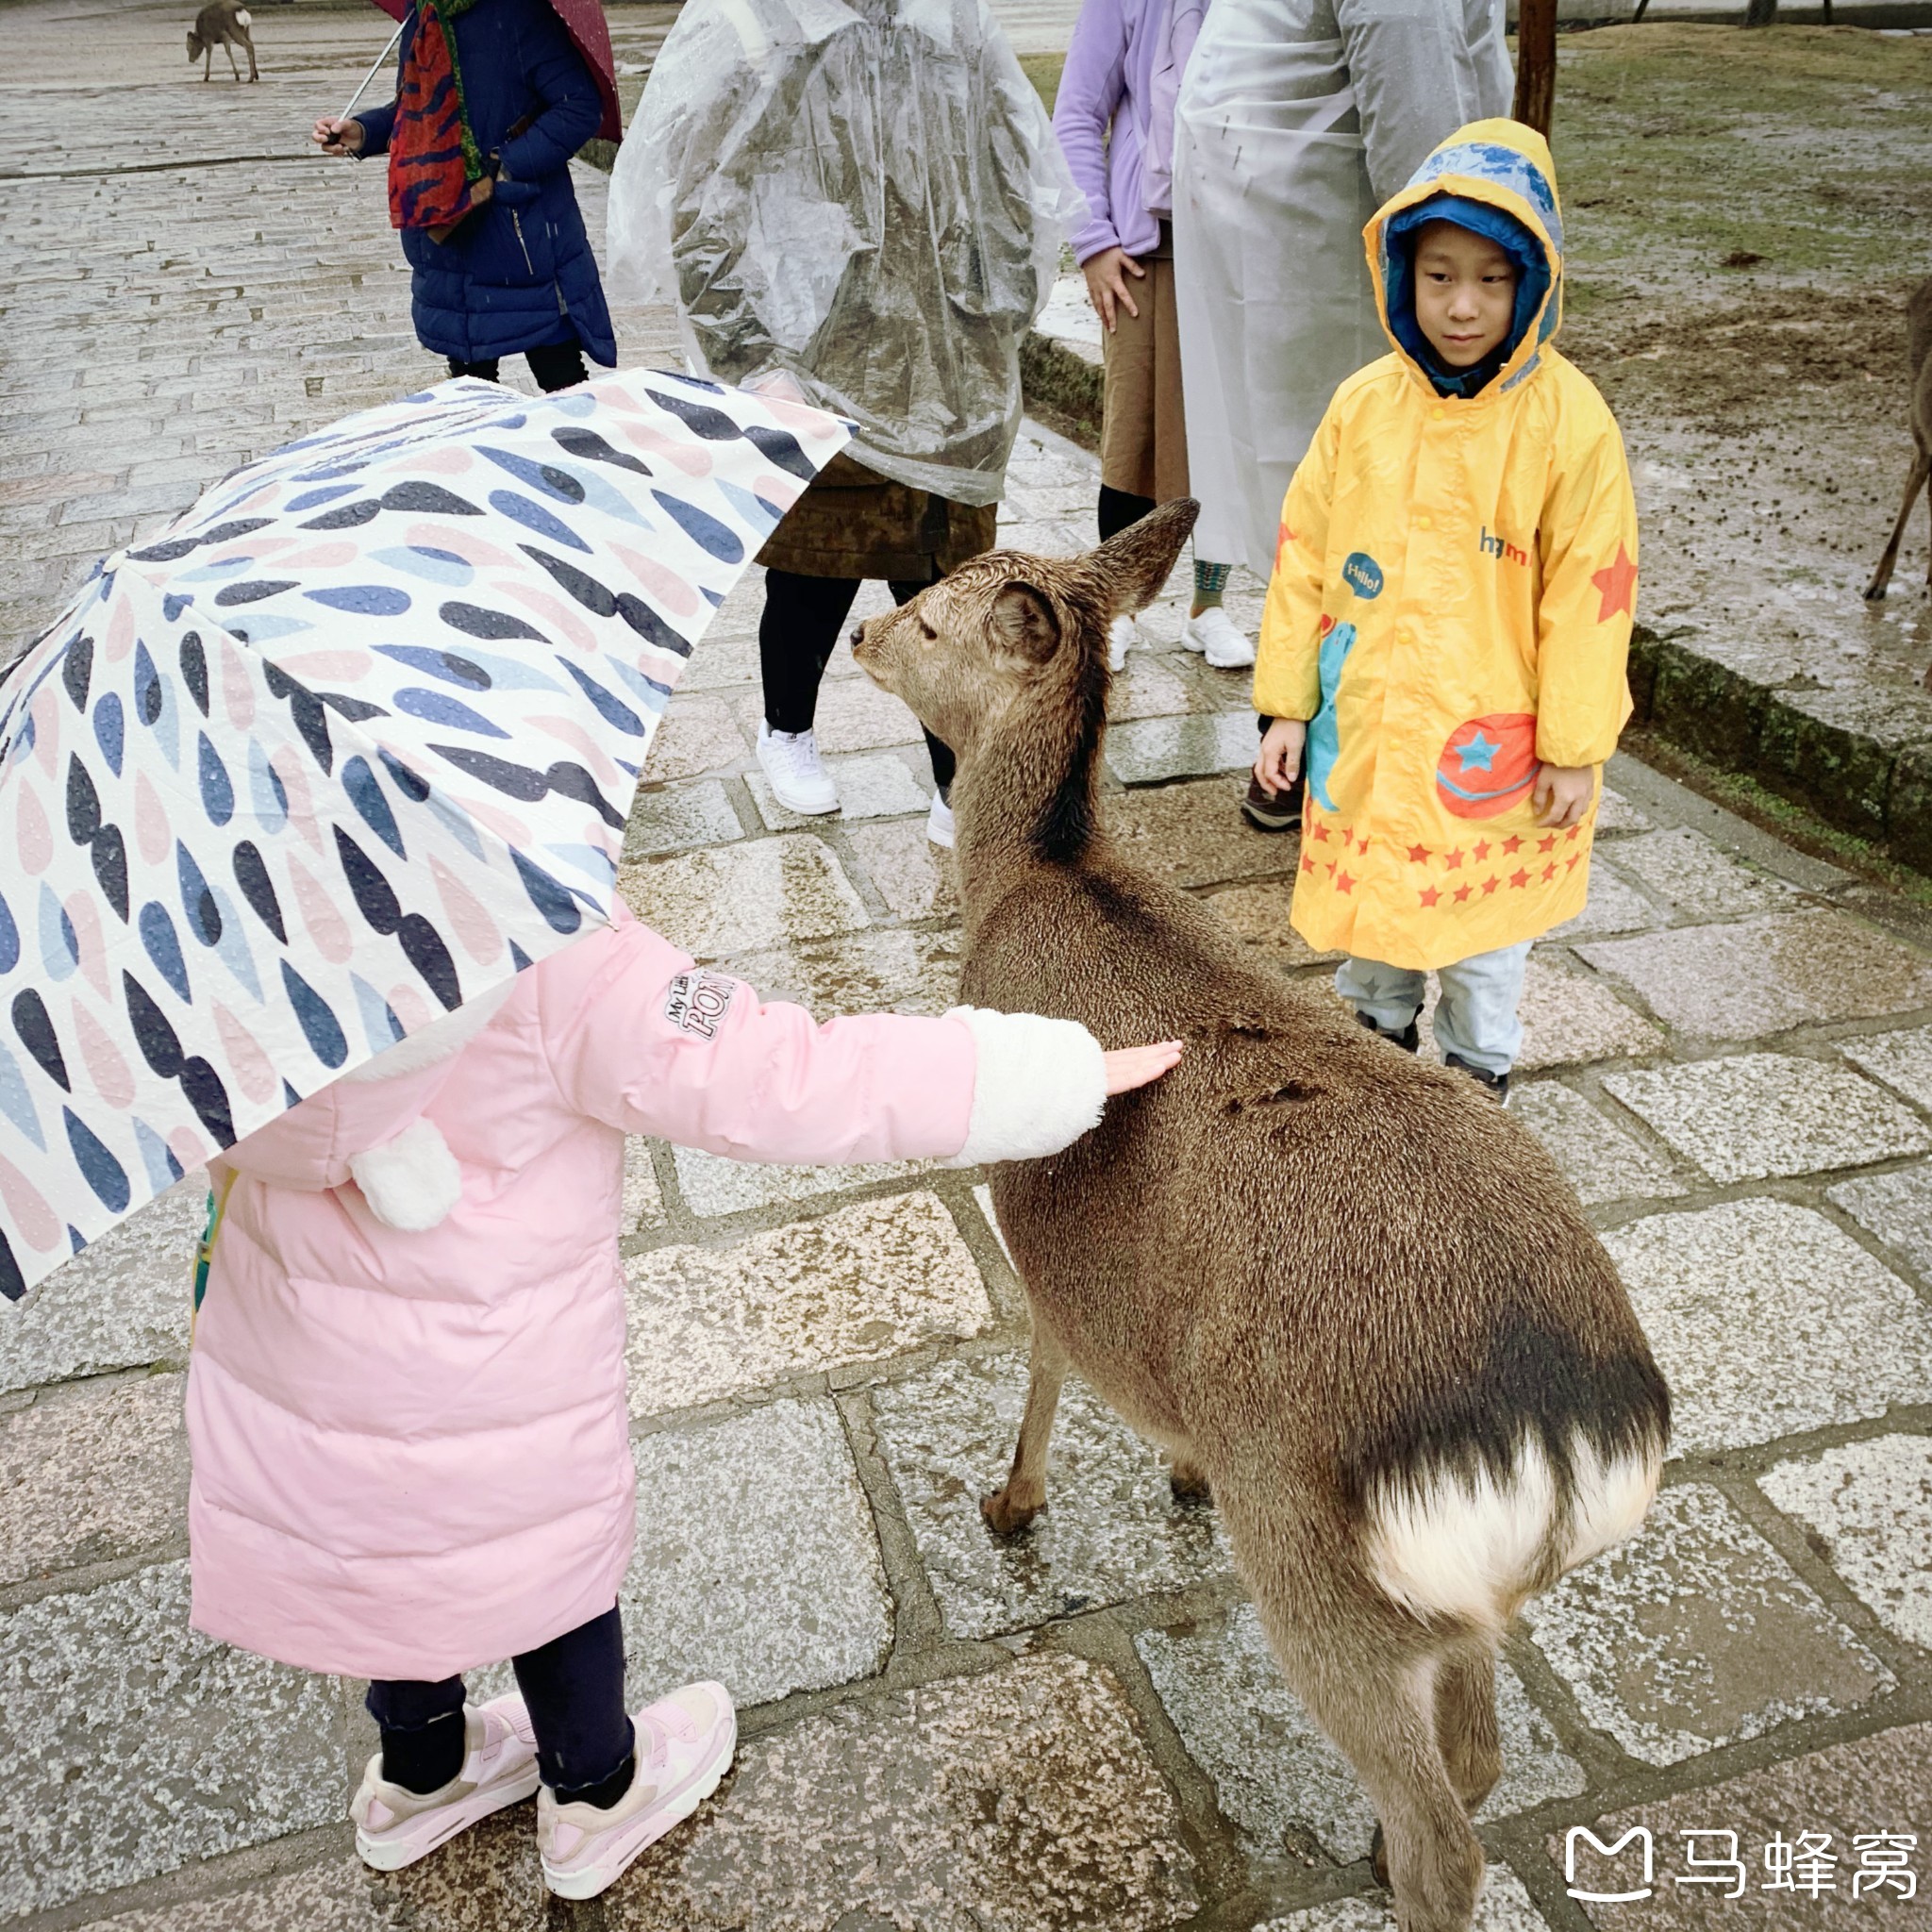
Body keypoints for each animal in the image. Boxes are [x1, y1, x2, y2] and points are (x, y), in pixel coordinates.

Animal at [854, 502, 1669, 1932]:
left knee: (1446, 1824)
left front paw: (1011, 1502)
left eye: (934, 617)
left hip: (1310, 1549)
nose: (858, 633)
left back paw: (1390, 1862)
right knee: (1478, 1750)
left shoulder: (1025, 1194)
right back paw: (1372, 1846)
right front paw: (1172, 1470)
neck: (1029, 883)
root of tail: (1568, 1429)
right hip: (1461, 1595)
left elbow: (1048, 1347)